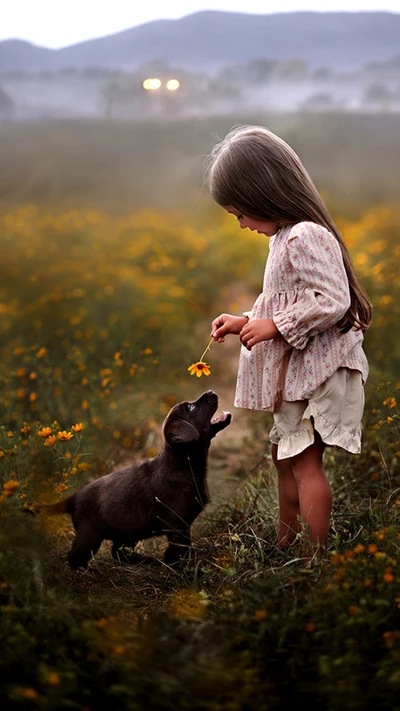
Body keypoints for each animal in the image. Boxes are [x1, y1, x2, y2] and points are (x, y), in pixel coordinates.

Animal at [41, 392, 231, 572]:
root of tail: (73, 498)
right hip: (90, 534)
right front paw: (184, 569)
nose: (211, 391)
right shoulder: (176, 525)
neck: (184, 465)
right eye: (191, 407)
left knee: (118, 553)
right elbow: (181, 550)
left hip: (128, 530)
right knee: (75, 557)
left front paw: (171, 563)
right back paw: (88, 573)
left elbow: (176, 551)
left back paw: (147, 561)